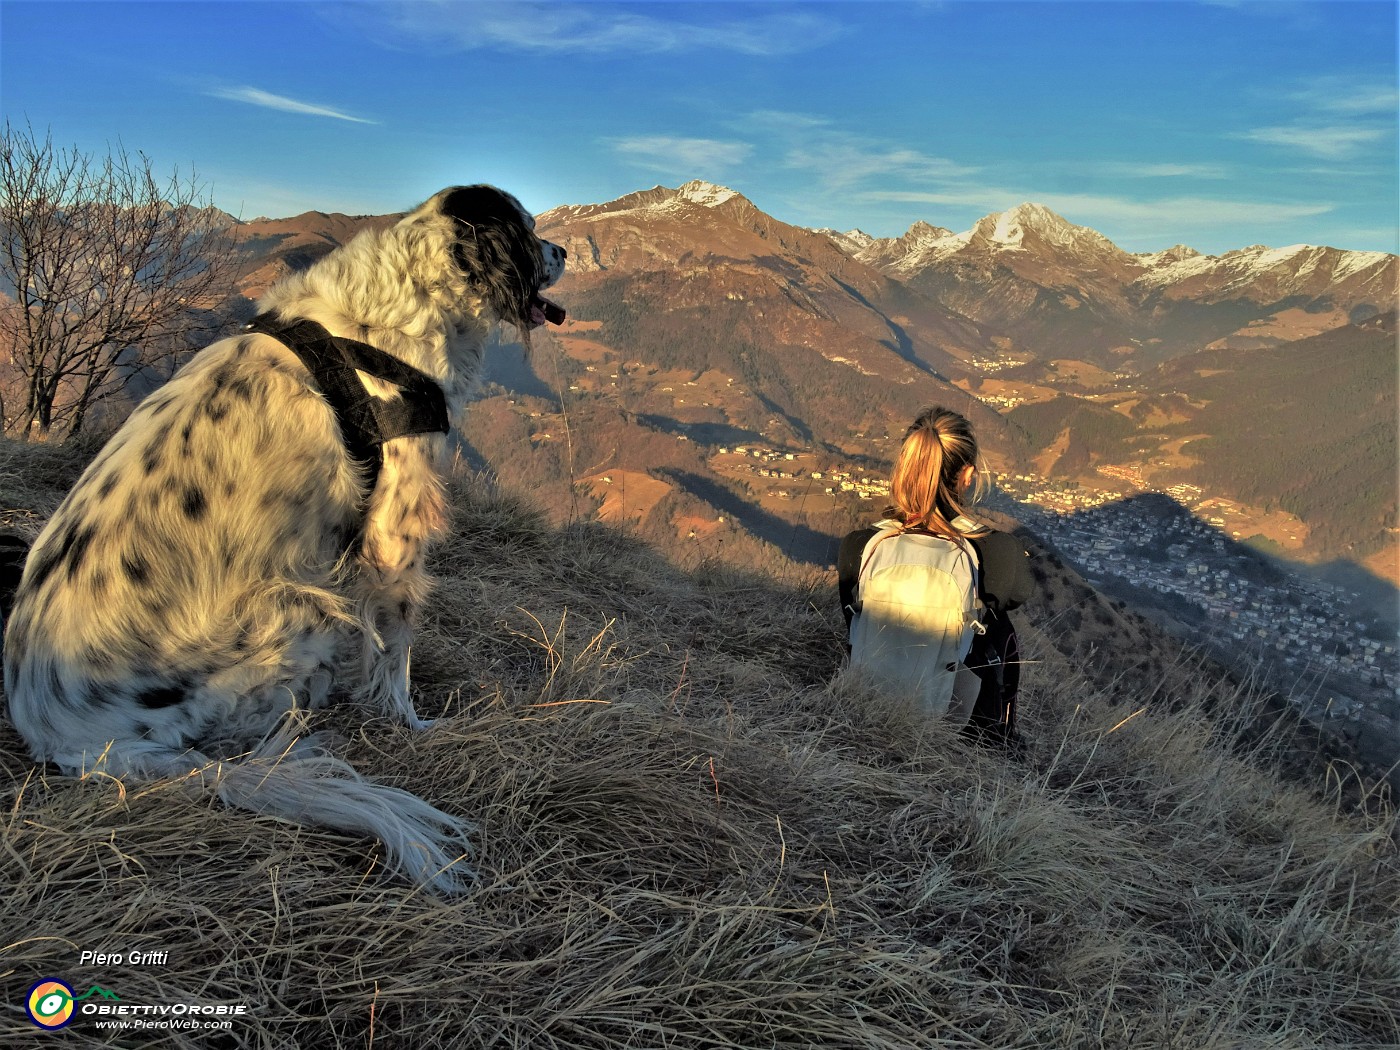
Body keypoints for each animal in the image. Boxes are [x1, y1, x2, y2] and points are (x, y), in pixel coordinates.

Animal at [6, 184, 562, 890]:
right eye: (531, 229)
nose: (564, 250)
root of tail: (66, 736)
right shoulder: (395, 530)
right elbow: (397, 648)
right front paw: (411, 724)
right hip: (300, 617)